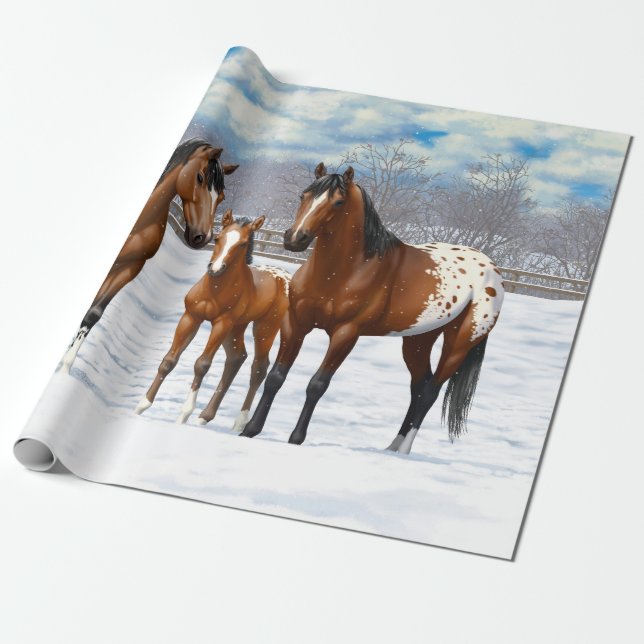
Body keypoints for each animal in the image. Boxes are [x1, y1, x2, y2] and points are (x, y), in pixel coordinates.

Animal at [60, 138, 239, 374]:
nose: (202, 237)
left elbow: (94, 312)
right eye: (200, 177)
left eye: (221, 196)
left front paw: (66, 365)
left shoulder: (130, 266)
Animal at [134, 208, 291, 430]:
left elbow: (202, 364)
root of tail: (286, 277)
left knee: (259, 367)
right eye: (217, 238)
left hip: (264, 327)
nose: (215, 268)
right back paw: (204, 417)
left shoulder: (221, 324)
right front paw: (141, 406)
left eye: (242, 244)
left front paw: (183, 416)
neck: (214, 290)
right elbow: (169, 360)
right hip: (236, 327)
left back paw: (239, 424)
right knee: (236, 358)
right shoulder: (191, 317)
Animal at [240, 163, 504, 455]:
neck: (346, 270)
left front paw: (296, 438)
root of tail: (492, 268)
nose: (295, 238)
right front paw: (250, 430)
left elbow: (317, 385)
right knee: (419, 387)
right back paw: (392, 446)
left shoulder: (346, 334)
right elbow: (276, 376)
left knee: (430, 392)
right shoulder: (296, 324)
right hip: (418, 341)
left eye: (339, 202)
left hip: (459, 344)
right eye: (303, 195)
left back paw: (404, 451)